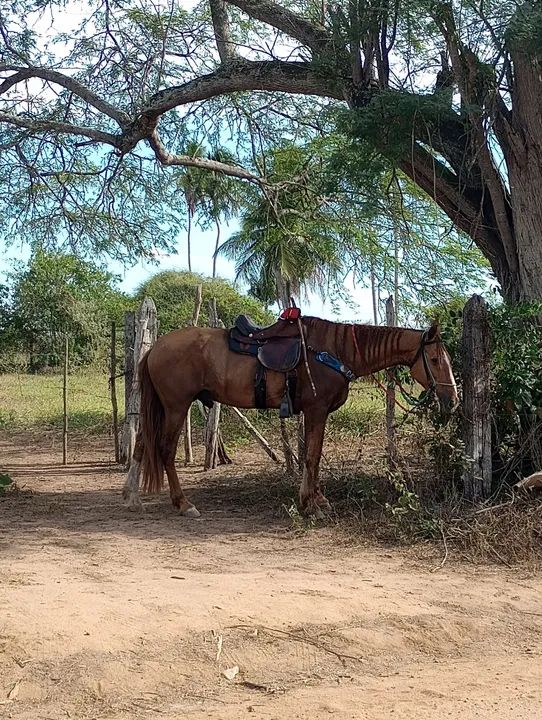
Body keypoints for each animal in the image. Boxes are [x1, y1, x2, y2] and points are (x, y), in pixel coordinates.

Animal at [123, 316, 458, 517]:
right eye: (434, 359)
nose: (453, 400)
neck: (335, 352)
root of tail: (154, 349)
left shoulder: (316, 413)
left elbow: (313, 454)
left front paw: (315, 499)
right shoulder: (316, 410)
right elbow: (312, 456)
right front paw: (311, 504)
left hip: (162, 407)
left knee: (141, 445)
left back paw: (132, 497)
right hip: (176, 406)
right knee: (164, 450)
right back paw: (183, 503)